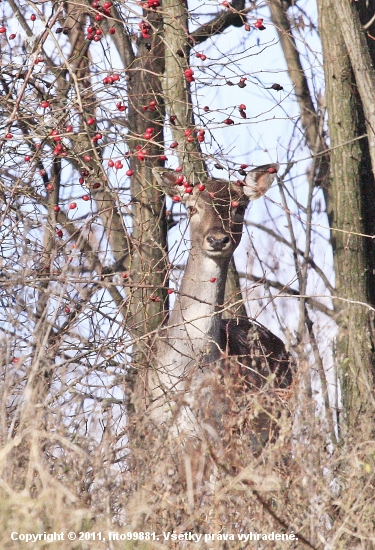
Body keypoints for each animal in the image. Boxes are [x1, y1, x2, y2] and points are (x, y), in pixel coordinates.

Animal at [140, 163, 292, 462]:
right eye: (191, 208)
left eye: (240, 207)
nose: (218, 239)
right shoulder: (158, 426)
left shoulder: (220, 430)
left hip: (278, 425)